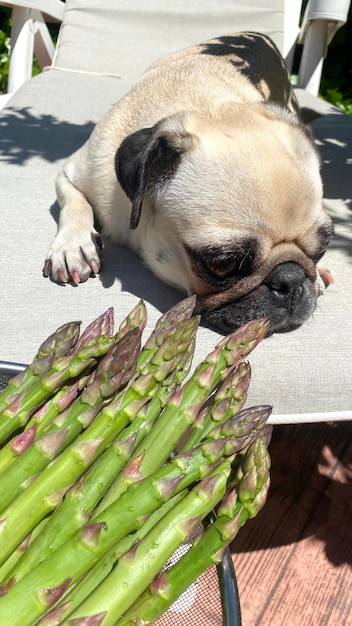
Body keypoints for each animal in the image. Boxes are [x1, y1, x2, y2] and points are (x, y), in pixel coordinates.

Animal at [43, 30, 332, 332]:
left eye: (323, 249)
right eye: (224, 264)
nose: (290, 280)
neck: (203, 104)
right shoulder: (71, 173)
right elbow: (76, 205)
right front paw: (73, 245)